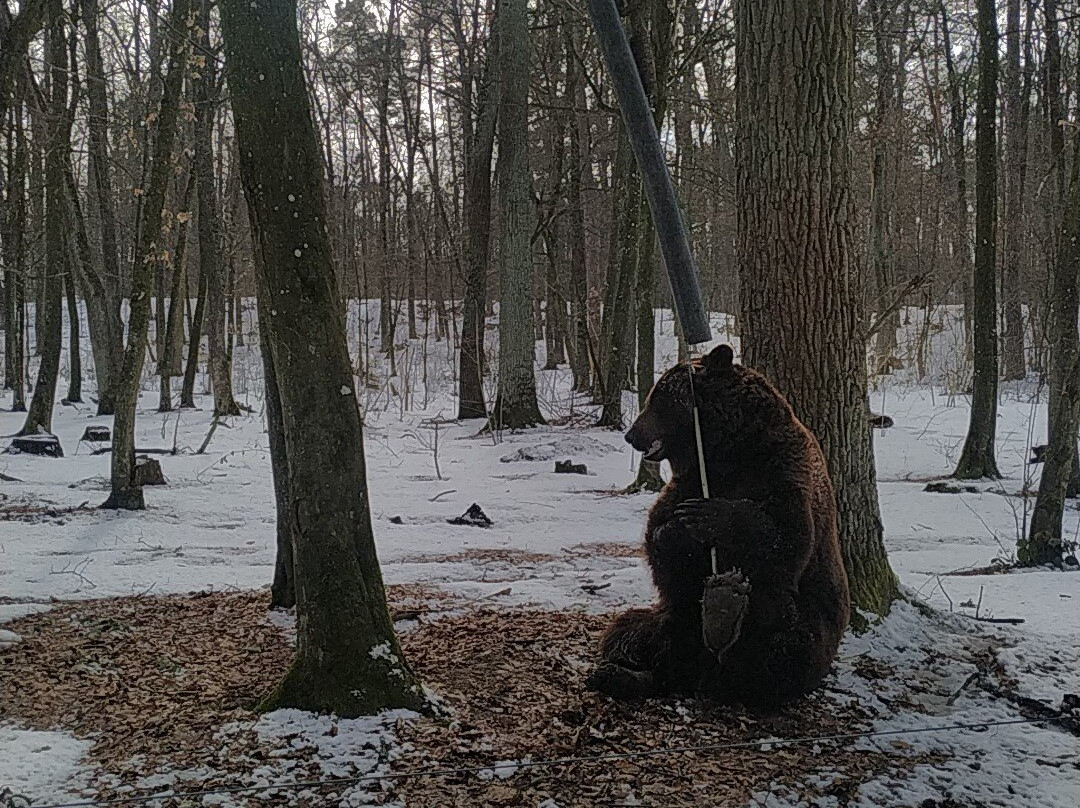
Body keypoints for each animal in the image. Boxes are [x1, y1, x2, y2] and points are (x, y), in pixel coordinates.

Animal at [587, 343, 846, 708]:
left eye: (659, 399)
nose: (631, 434)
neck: (725, 453)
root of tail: (703, 668)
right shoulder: (688, 481)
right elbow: (658, 540)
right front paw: (678, 528)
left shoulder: (783, 470)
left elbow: (785, 540)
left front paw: (706, 516)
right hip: (674, 619)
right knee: (633, 633)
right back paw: (619, 673)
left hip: (807, 627)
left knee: (783, 651)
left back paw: (727, 631)